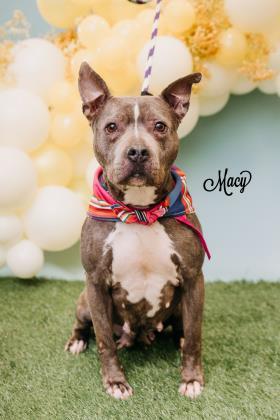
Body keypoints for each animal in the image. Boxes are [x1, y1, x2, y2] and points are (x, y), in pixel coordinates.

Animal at [65, 62, 206, 400]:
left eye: (160, 126)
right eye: (111, 127)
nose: (138, 152)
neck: (140, 212)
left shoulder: (193, 277)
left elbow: (195, 336)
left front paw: (191, 379)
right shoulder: (96, 282)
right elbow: (104, 341)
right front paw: (115, 382)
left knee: (182, 330)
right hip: (84, 300)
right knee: (86, 325)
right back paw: (77, 340)